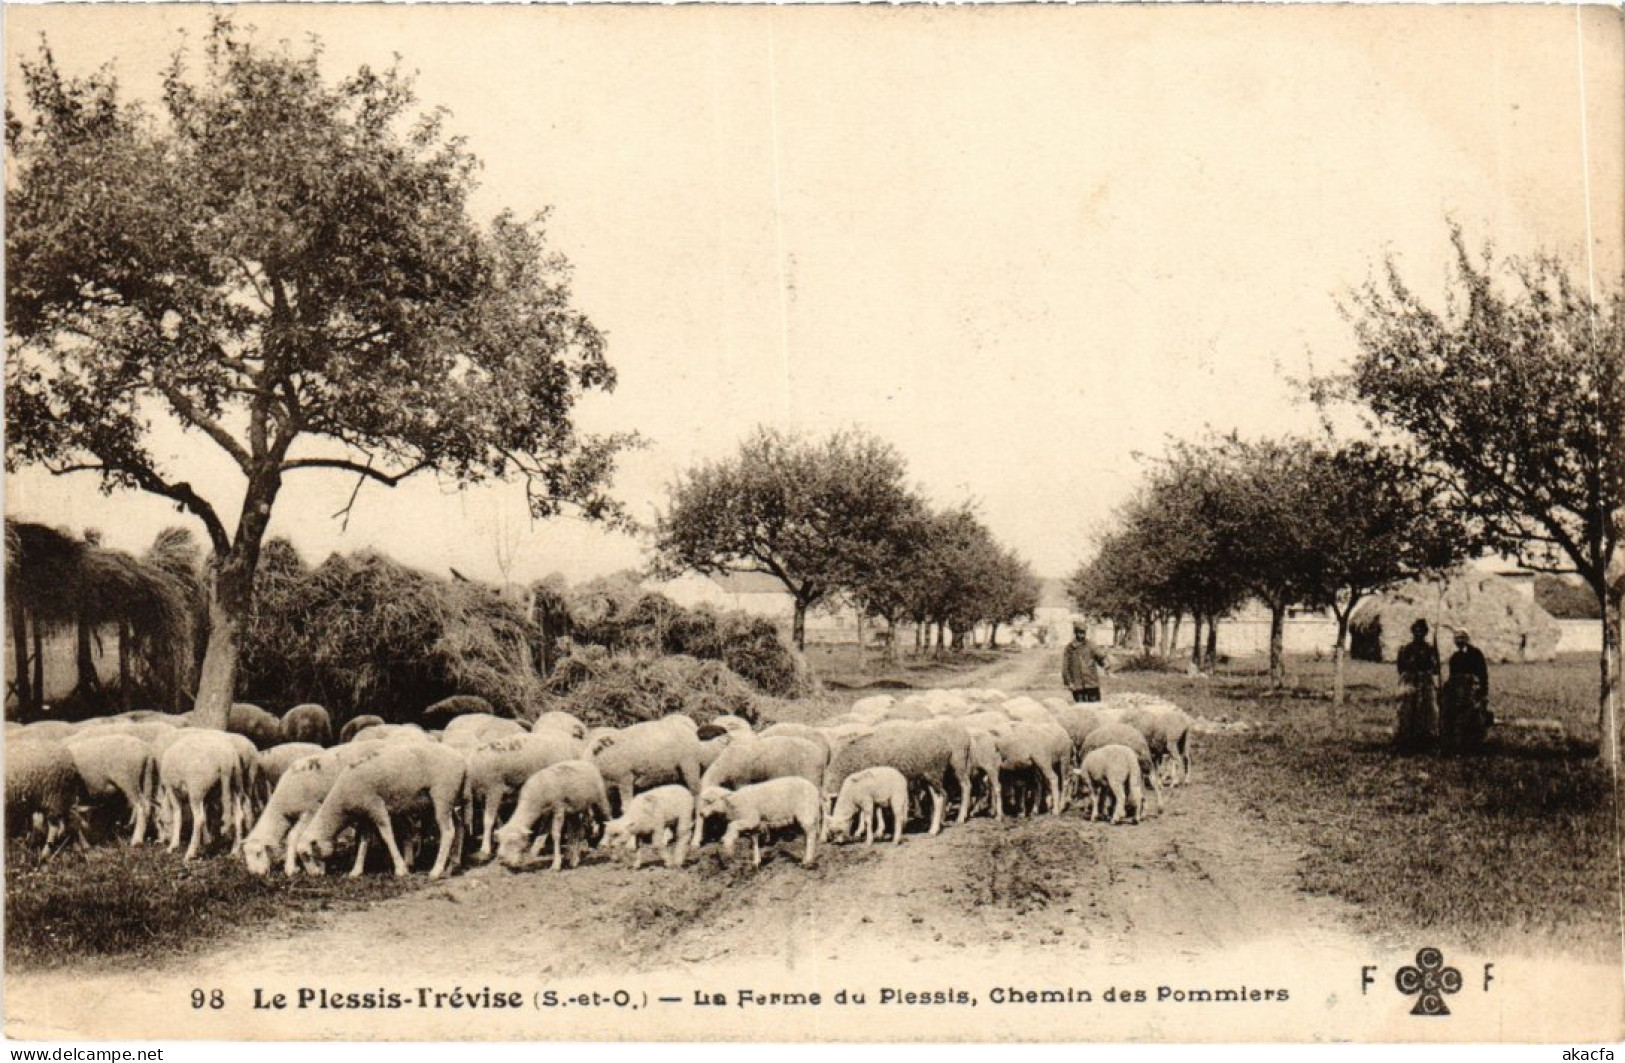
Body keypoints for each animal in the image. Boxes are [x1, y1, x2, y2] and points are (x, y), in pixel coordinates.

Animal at [295, 741, 471, 884]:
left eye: (306, 855)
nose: (314, 876)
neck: (342, 803)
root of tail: (462, 761)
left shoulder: (376, 806)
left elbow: (387, 836)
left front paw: (400, 869)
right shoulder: (365, 814)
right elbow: (363, 841)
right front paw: (356, 871)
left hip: (442, 795)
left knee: (448, 831)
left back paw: (436, 871)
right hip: (450, 799)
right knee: (459, 826)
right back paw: (453, 866)